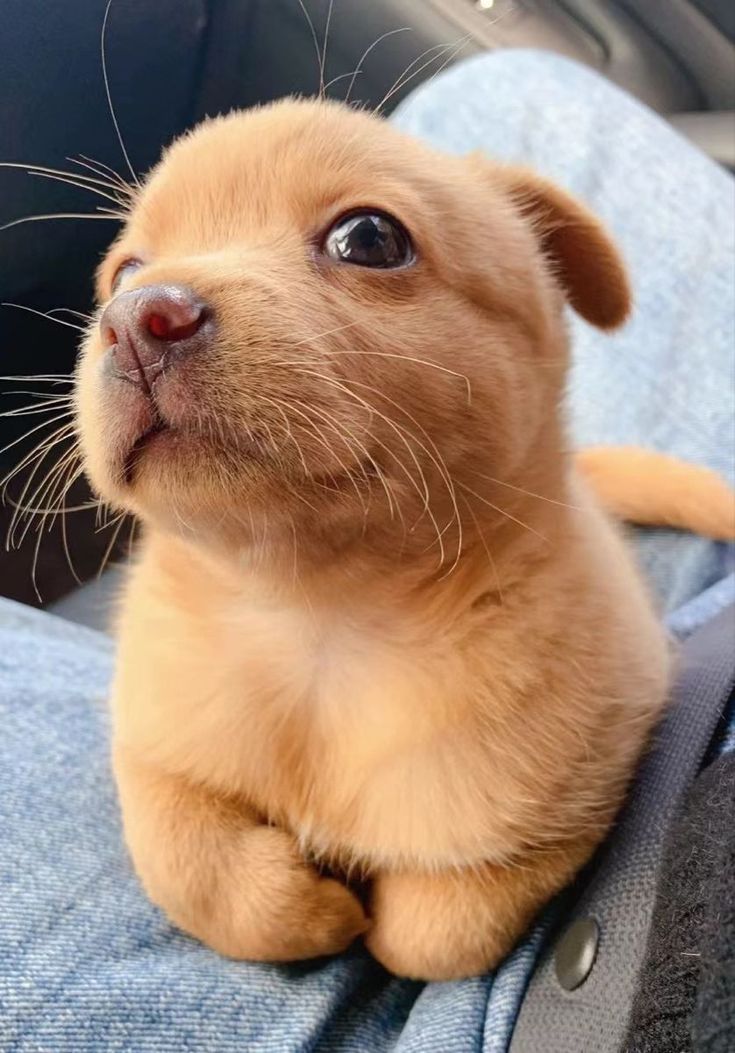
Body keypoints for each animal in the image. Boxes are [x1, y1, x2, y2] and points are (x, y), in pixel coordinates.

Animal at [73, 98, 728, 977]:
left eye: (369, 238)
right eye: (123, 272)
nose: (138, 318)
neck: (317, 620)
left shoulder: (575, 796)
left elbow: (434, 931)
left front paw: (368, 918)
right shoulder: (151, 744)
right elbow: (188, 864)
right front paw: (306, 909)